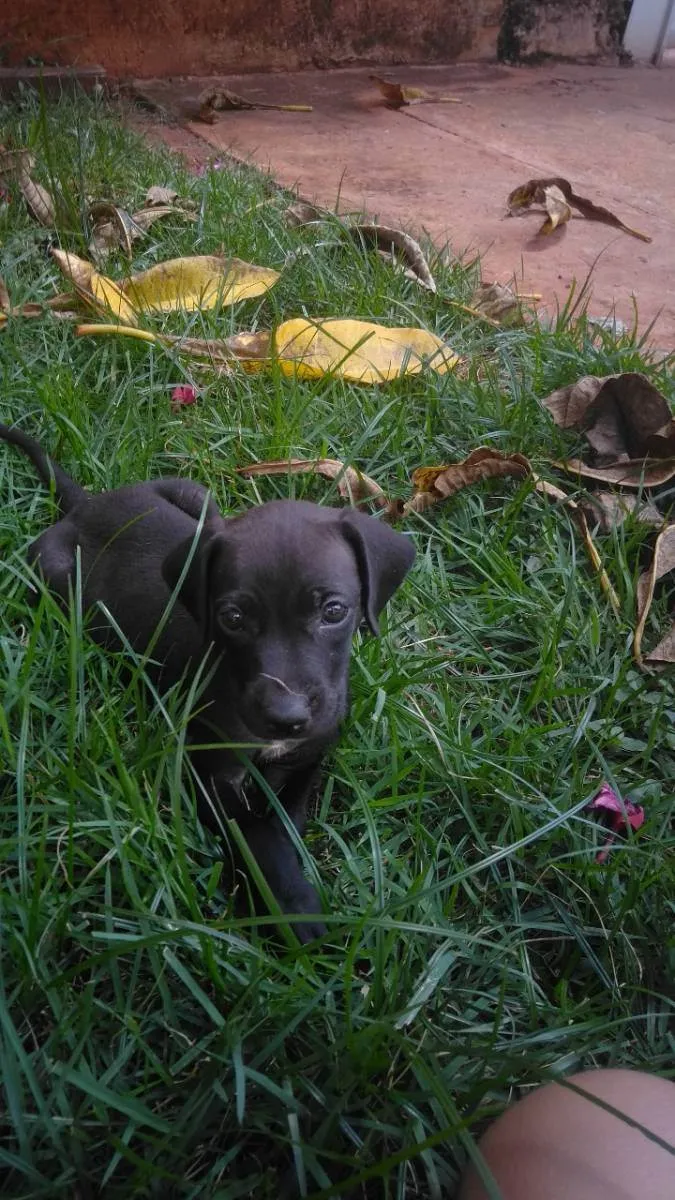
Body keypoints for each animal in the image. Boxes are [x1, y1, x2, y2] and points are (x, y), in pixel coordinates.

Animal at [1, 422, 415, 936]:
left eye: (334, 611)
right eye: (232, 618)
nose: (286, 717)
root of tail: (88, 504)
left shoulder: (307, 758)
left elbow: (285, 821)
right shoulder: (208, 772)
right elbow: (256, 836)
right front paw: (294, 909)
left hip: (199, 498)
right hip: (51, 575)